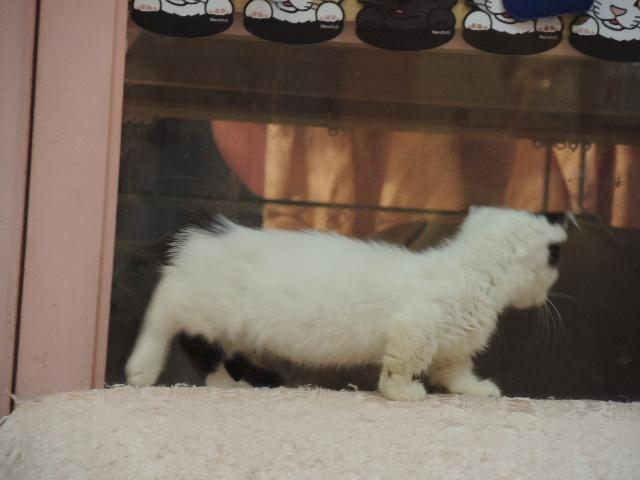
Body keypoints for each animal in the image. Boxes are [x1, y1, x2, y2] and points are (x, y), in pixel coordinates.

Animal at [126, 207, 568, 401]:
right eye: (554, 264)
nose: (548, 295)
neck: (472, 274)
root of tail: (200, 236)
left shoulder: (452, 345)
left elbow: (456, 370)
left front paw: (474, 389)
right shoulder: (415, 328)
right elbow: (399, 367)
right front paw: (402, 392)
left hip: (228, 326)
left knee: (204, 348)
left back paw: (230, 382)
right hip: (207, 303)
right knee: (165, 306)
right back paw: (142, 366)